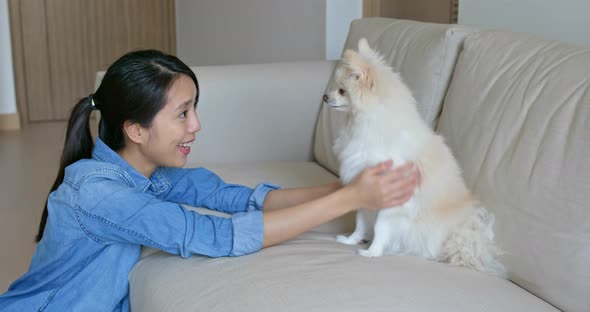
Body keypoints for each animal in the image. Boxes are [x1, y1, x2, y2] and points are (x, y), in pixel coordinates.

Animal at [326, 38, 506, 276]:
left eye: (341, 91)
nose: (325, 96)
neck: (363, 124)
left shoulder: (392, 200)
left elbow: (379, 227)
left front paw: (372, 252)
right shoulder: (365, 189)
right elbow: (360, 221)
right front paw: (352, 240)